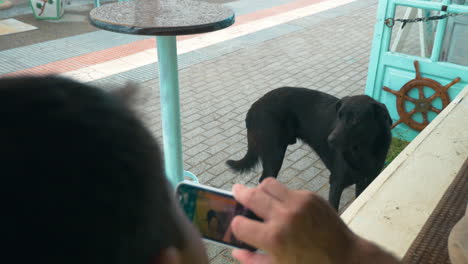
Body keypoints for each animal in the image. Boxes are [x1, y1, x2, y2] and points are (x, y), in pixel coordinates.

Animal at [226, 87, 392, 210]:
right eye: (339, 116)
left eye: (355, 119)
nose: (329, 140)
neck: (363, 151)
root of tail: (253, 107)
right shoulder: (336, 183)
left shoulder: (367, 183)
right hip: (274, 155)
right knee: (264, 180)